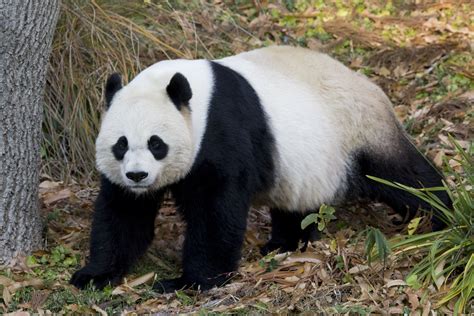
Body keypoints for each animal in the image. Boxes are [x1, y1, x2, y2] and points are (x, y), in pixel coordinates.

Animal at [69, 45, 448, 292]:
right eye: (120, 144)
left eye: (156, 143)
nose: (137, 176)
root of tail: (371, 85)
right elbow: (124, 214)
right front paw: (94, 275)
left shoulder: (221, 130)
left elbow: (216, 209)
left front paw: (189, 281)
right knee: (299, 204)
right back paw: (285, 243)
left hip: (360, 130)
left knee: (402, 175)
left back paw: (442, 216)